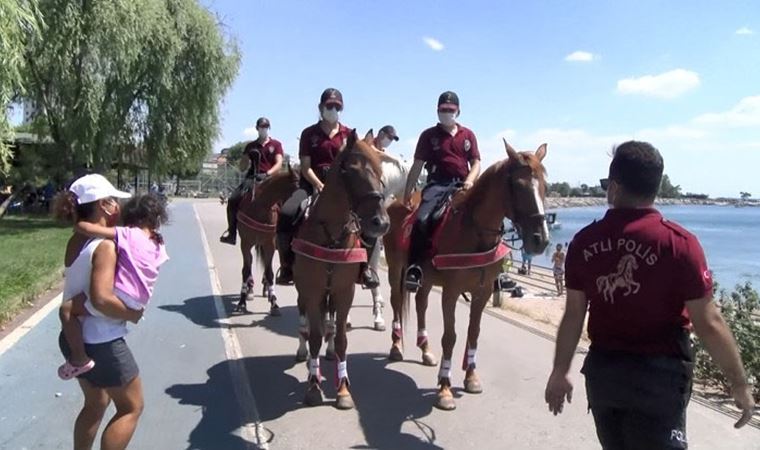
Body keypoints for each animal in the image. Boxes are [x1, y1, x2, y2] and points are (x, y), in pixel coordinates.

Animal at [238, 167, 300, 314]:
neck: (259, 207)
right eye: (298, 186)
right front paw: (242, 301)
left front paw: (274, 303)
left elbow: (269, 272)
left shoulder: (269, 245)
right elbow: (246, 270)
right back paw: (249, 290)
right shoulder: (245, 244)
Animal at [290, 128, 386, 410]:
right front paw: (313, 386)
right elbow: (313, 336)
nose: (381, 222)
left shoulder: (344, 292)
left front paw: (343, 388)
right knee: (305, 323)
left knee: (330, 323)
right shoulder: (312, 291)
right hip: (304, 291)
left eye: (380, 170)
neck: (330, 235)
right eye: (351, 170)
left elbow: (342, 337)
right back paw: (303, 351)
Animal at [382, 141, 548, 412]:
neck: (474, 231)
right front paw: (445, 388)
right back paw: (396, 346)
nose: (540, 240)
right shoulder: (450, 292)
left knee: (420, 304)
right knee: (397, 302)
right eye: (518, 185)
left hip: (426, 279)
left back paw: (425, 349)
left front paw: (471, 376)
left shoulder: (483, 292)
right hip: (396, 268)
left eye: (545, 184)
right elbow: (450, 337)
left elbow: (473, 333)